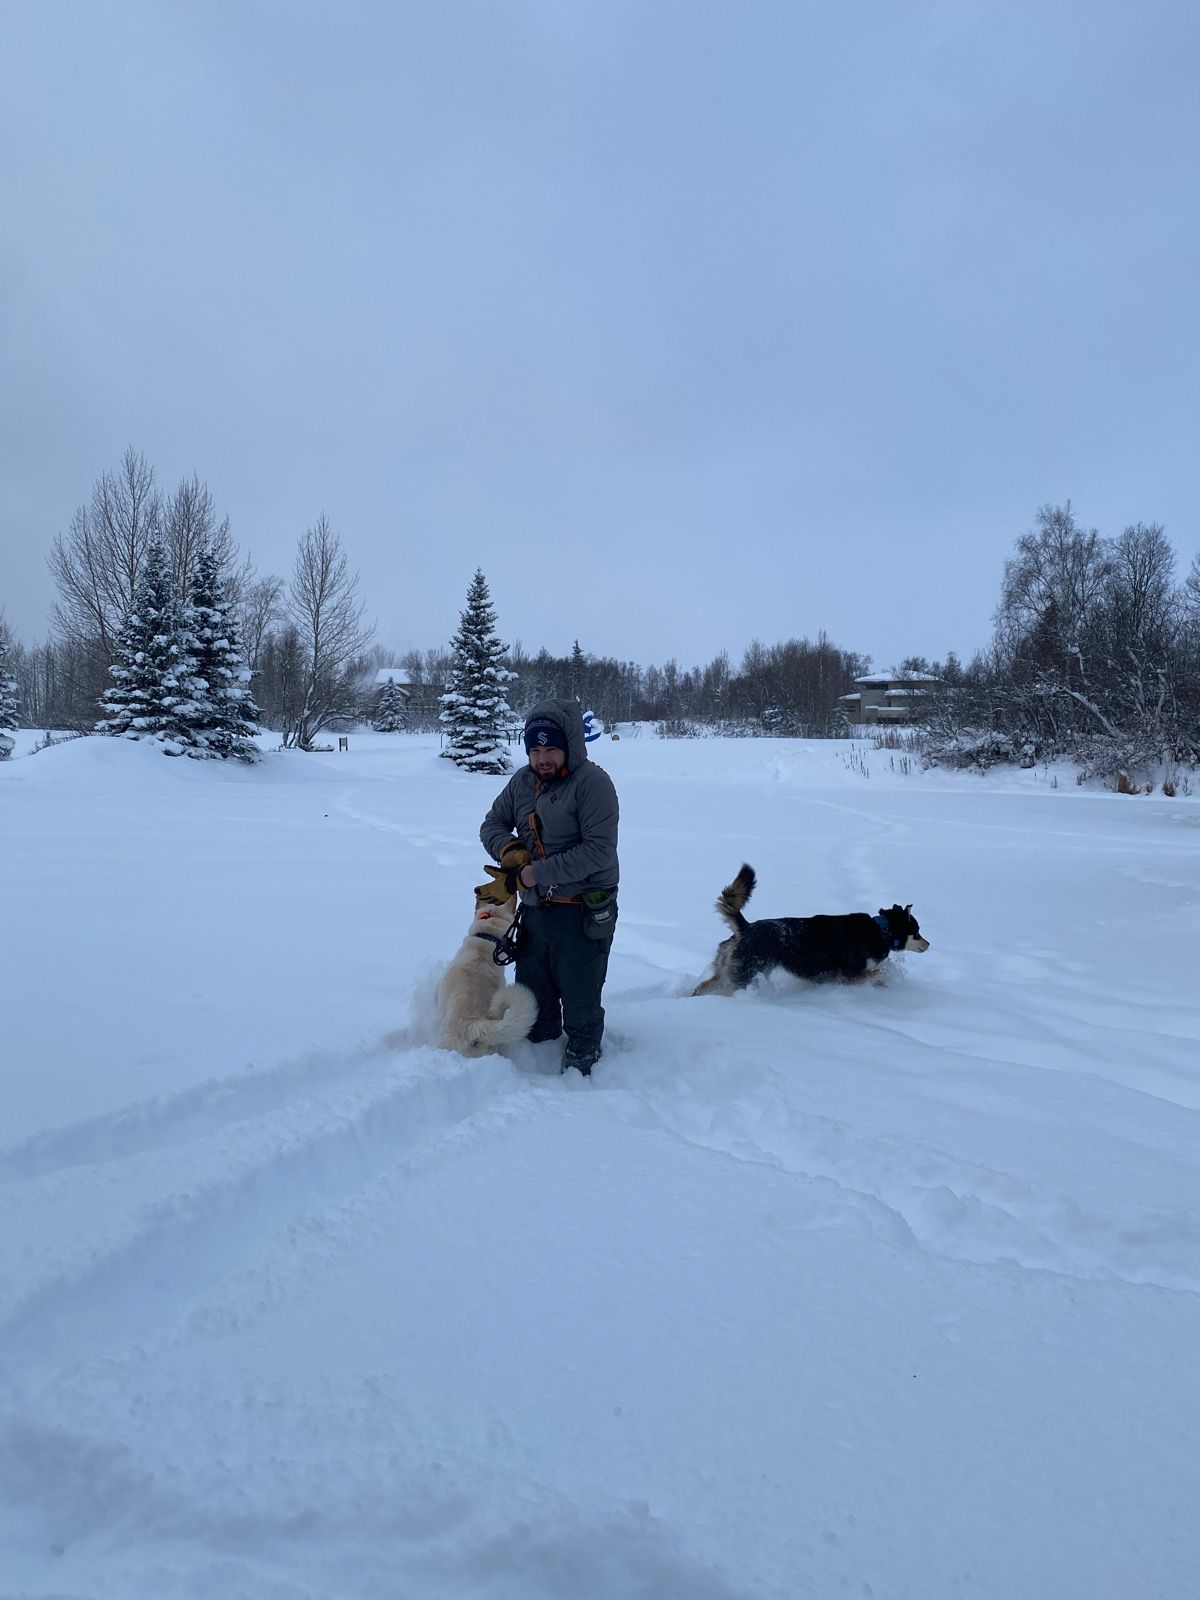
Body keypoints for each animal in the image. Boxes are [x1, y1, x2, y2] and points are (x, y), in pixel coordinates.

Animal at [693, 864, 929, 995]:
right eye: (917, 931)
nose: (928, 944)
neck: (882, 930)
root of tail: (746, 928)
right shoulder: (848, 975)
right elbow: (878, 974)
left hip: (726, 972)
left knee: (703, 987)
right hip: (742, 977)